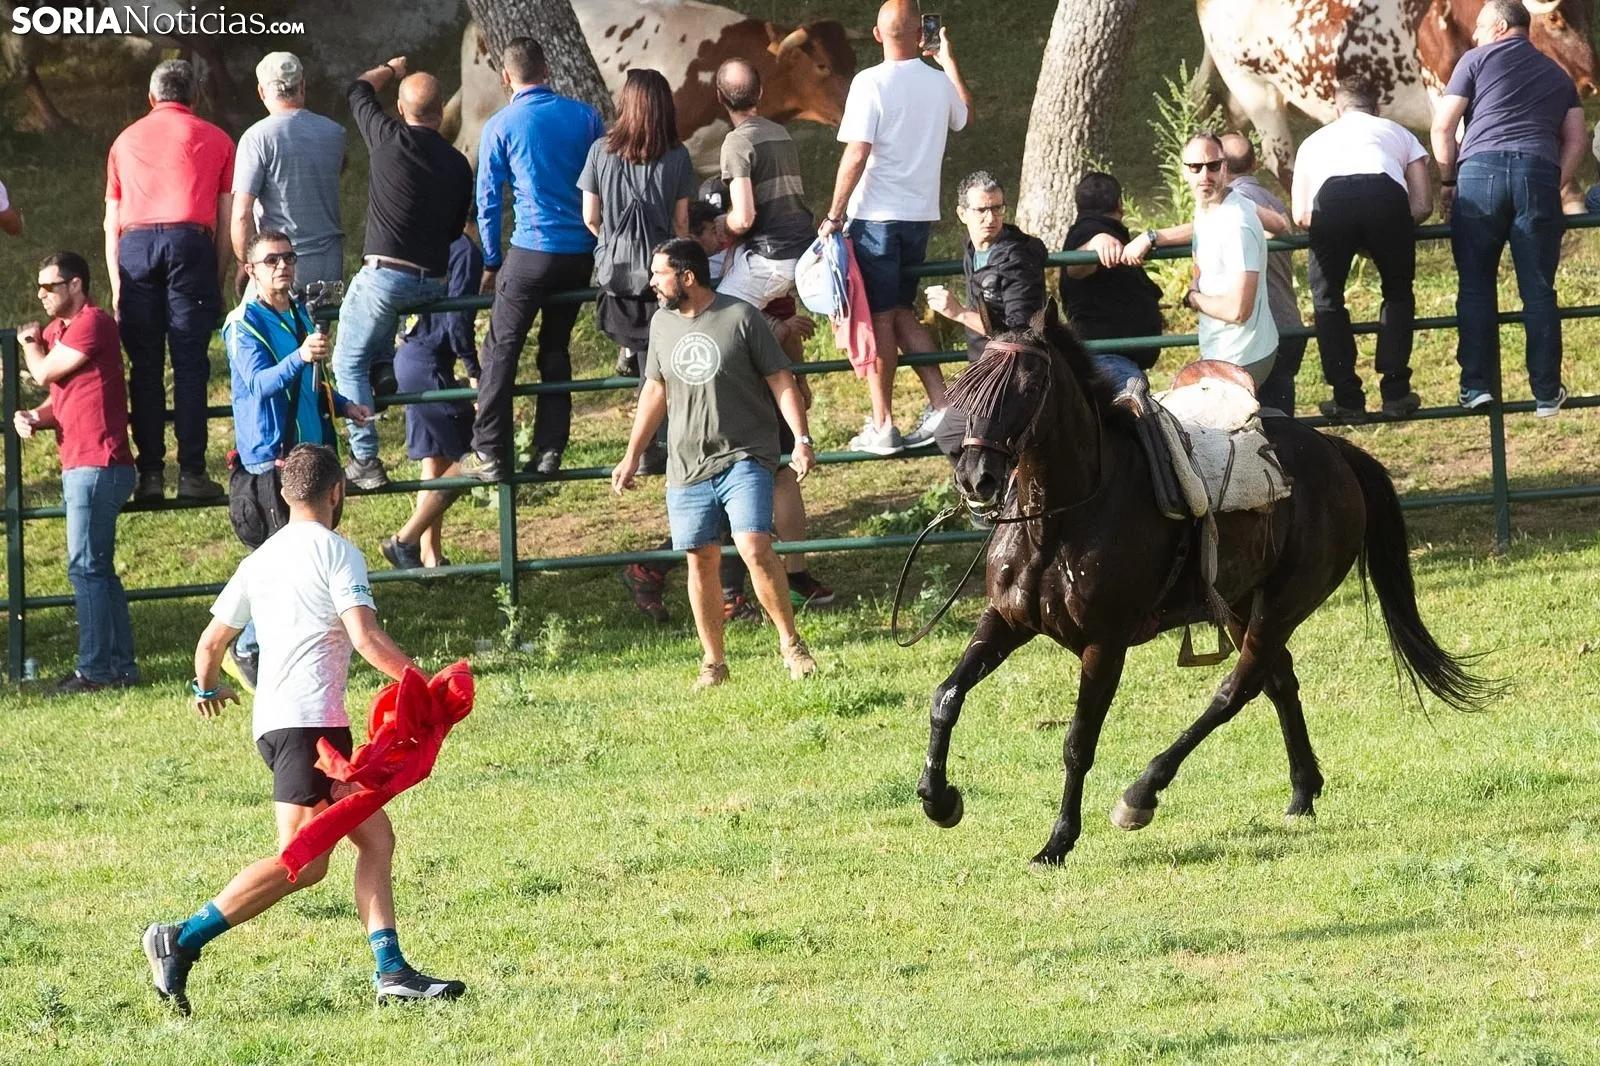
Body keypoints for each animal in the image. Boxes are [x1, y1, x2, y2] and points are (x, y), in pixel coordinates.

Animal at [915, 305, 1498, 866]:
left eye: (1031, 383)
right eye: (970, 381)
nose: (975, 478)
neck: (1062, 521)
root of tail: (1335, 451)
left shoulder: (1105, 645)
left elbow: (1078, 741)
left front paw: (1057, 842)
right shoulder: (1006, 620)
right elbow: (946, 696)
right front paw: (939, 800)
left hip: (1280, 606)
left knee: (1237, 689)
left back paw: (1141, 795)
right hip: (1242, 607)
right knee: (1278, 681)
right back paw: (1302, 793)